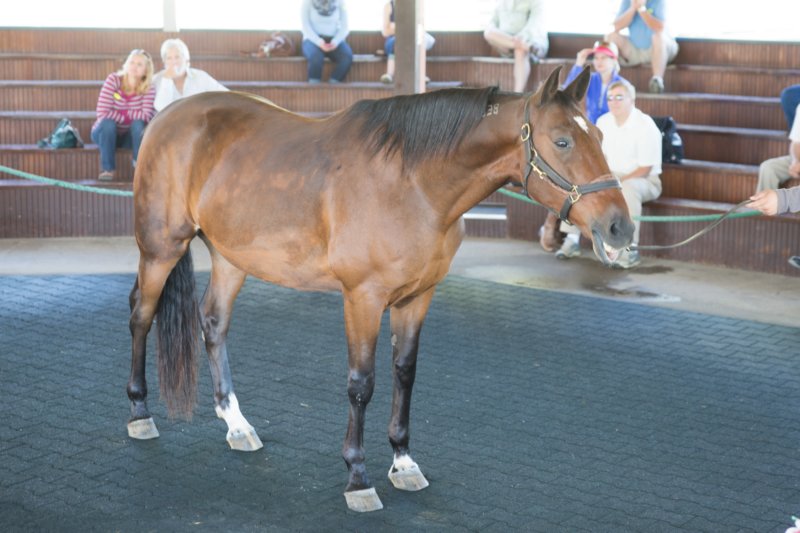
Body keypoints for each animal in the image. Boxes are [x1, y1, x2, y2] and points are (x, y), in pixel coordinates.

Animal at [126, 66, 632, 512]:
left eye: (600, 136)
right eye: (562, 141)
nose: (620, 227)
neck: (414, 184)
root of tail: (165, 119)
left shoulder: (417, 296)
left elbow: (404, 373)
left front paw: (403, 463)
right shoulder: (362, 298)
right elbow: (361, 383)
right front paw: (357, 477)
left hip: (231, 258)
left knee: (213, 323)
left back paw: (236, 424)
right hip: (160, 249)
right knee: (141, 316)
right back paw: (140, 414)